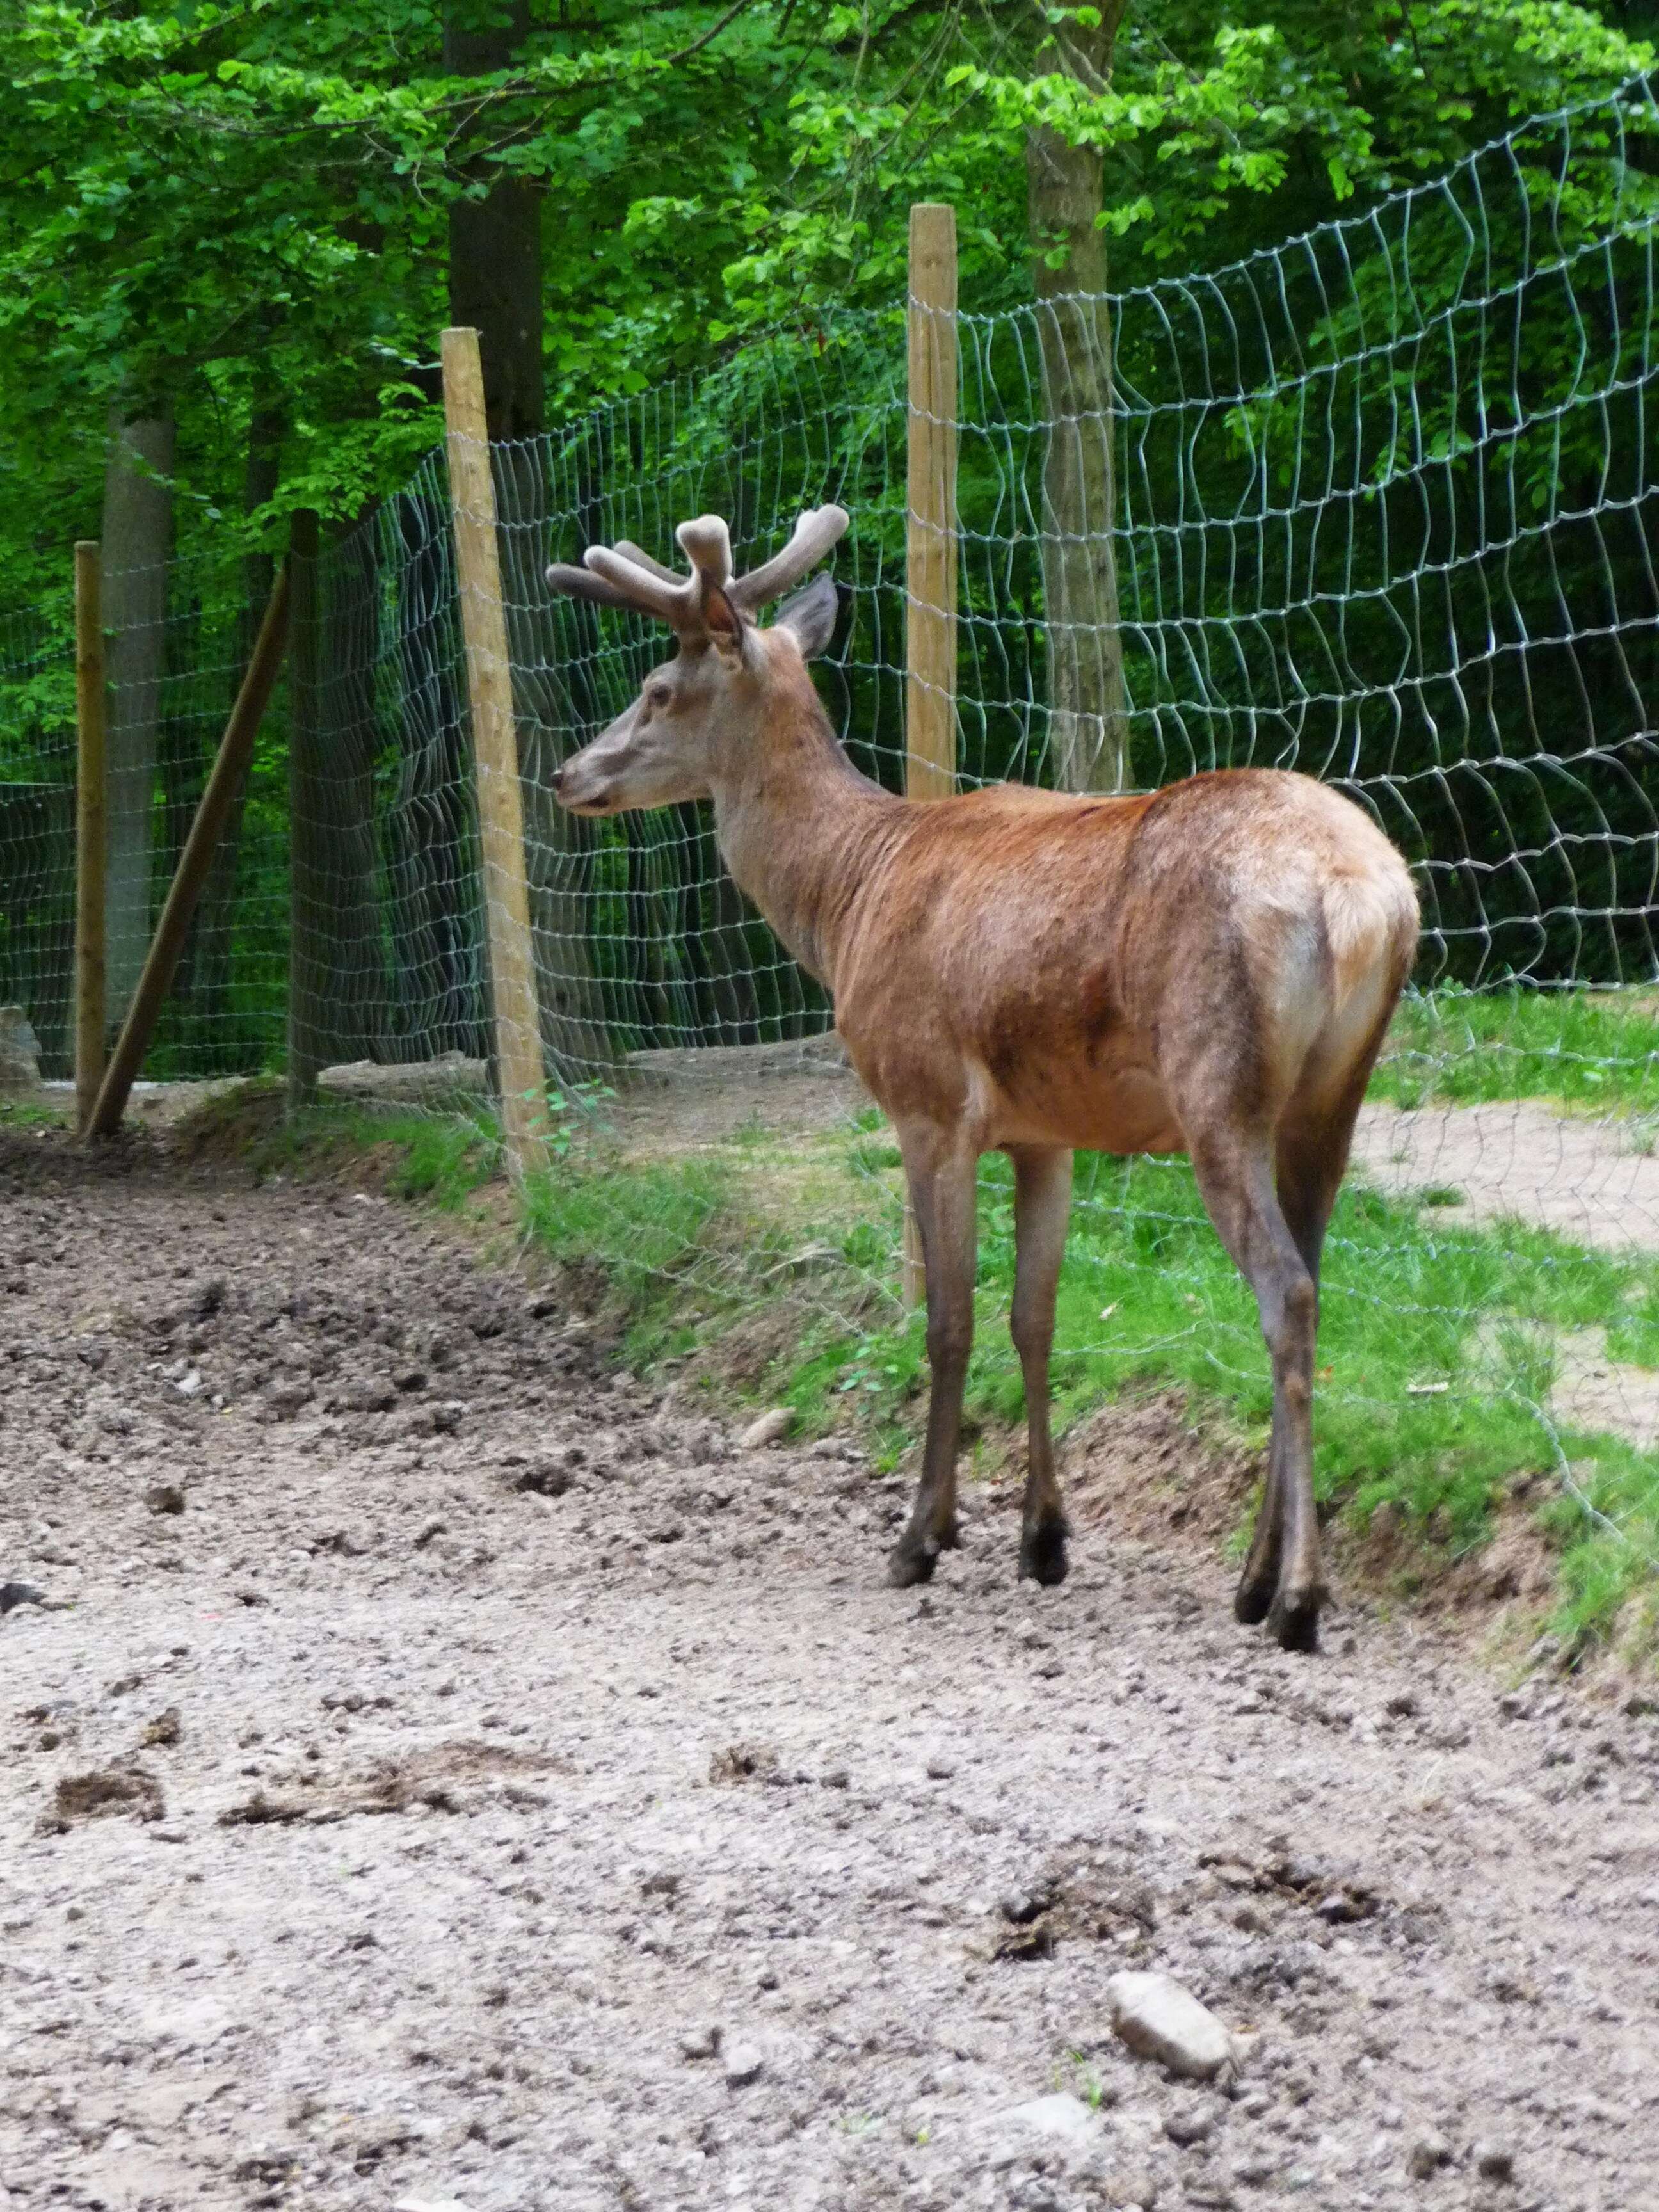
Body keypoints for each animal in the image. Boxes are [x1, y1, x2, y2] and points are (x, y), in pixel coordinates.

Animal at [553, 508, 1424, 1655]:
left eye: (658, 687)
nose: (567, 774)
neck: (848, 900)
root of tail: (1365, 899)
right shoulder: (1045, 1130)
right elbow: (1035, 1317)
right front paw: (1043, 1540)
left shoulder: (926, 1102)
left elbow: (948, 1321)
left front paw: (921, 1538)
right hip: (1334, 1099)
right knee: (1314, 1280)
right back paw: (1250, 1577)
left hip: (1218, 1085)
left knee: (1285, 1290)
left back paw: (1295, 1601)